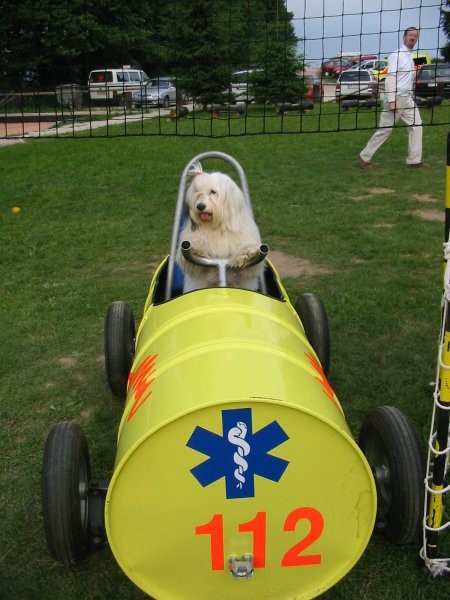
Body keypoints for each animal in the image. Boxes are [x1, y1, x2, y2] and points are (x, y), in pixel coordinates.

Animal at [175, 159, 264, 290]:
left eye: (213, 192)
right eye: (197, 192)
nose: (200, 206)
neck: (217, 226)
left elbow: (249, 265)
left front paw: (248, 253)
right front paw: (196, 250)